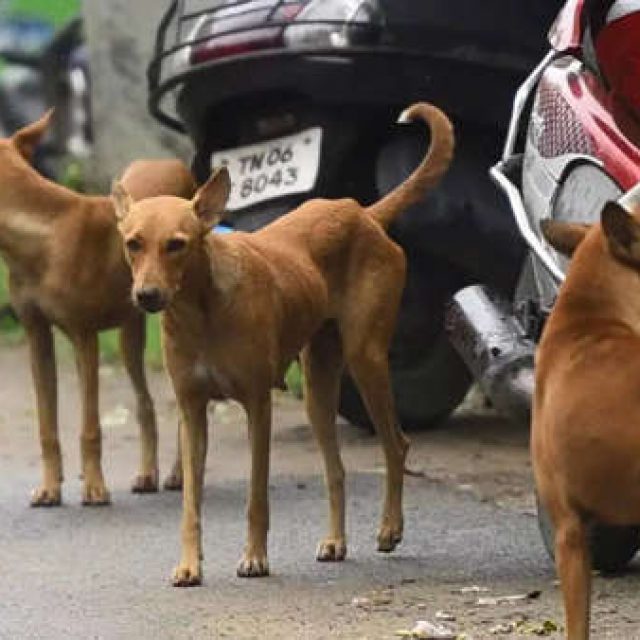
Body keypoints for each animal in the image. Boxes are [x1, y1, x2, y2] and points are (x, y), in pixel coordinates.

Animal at [0, 111, 195, 506]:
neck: (41, 237)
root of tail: (174, 162)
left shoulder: (84, 337)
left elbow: (90, 427)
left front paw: (94, 486)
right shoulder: (37, 338)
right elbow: (46, 426)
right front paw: (50, 486)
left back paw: (179, 474)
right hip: (130, 333)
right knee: (145, 405)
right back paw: (147, 473)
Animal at [113, 102, 454, 585]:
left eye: (177, 245)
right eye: (133, 244)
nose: (146, 296)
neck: (202, 313)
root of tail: (362, 212)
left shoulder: (258, 405)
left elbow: (257, 495)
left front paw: (255, 558)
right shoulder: (192, 411)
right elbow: (190, 503)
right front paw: (189, 565)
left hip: (366, 358)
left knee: (397, 444)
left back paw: (390, 528)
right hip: (318, 388)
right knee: (336, 470)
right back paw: (335, 541)